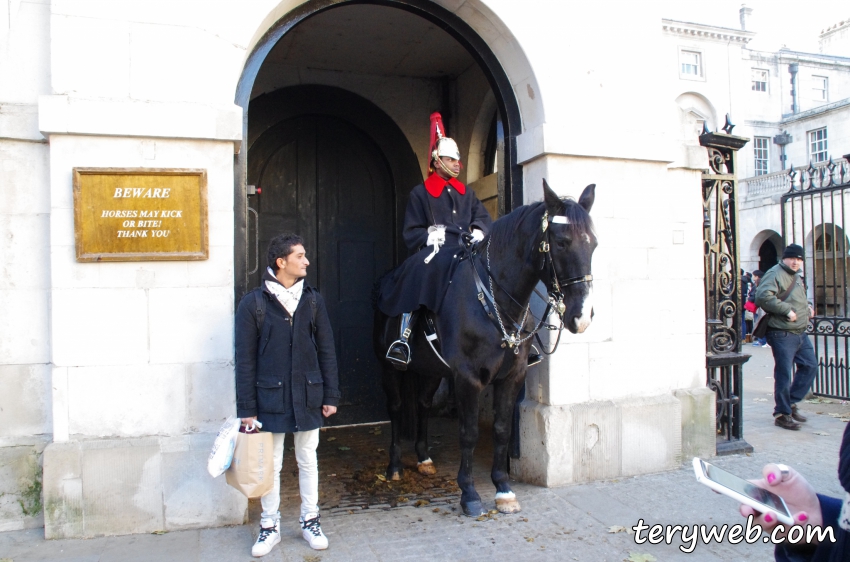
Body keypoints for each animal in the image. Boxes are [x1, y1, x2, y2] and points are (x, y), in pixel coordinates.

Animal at [372, 180, 596, 516]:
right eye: (562, 242)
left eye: (593, 244)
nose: (581, 317)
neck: (494, 300)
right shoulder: (467, 378)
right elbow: (469, 433)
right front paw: (469, 493)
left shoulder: (512, 376)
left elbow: (502, 428)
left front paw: (503, 488)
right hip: (389, 369)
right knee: (397, 408)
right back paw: (395, 466)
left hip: (431, 370)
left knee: (423, 403)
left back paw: (424, 458)